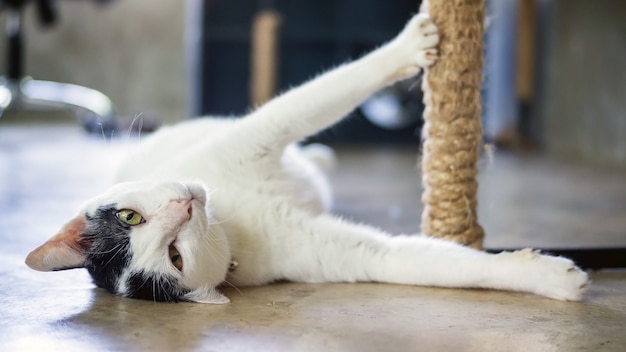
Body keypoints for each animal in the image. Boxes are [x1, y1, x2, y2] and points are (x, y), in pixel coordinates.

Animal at [25, 13, 584, 302]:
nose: (185, 207)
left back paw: (320, 157)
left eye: (129, 216)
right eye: (175, 257)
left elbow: (331, 88)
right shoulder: (351, 255)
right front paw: (549, 277)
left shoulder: (264, 131)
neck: (233, 217)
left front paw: (407, 46)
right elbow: (445, 264)